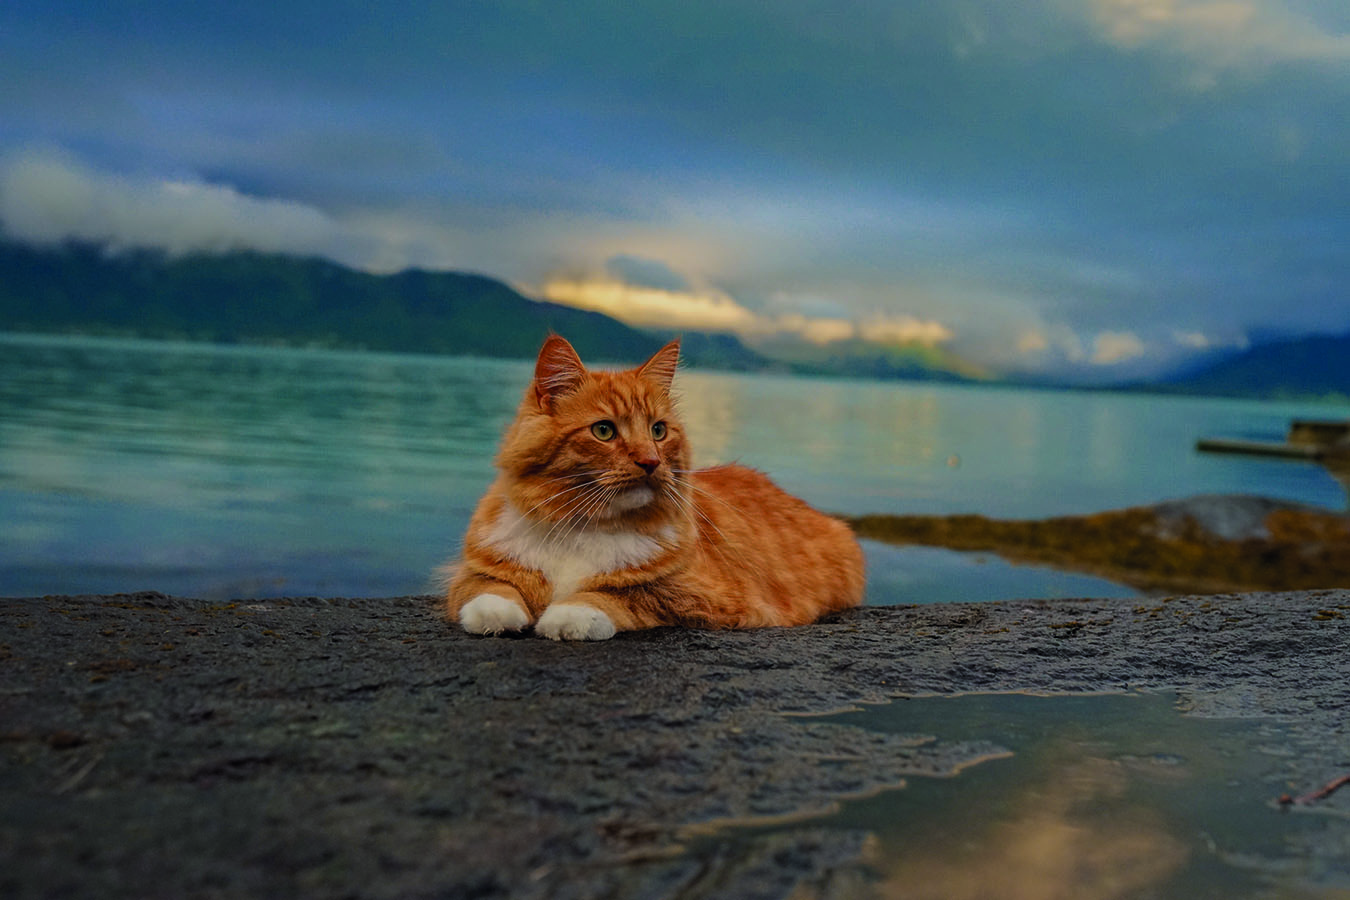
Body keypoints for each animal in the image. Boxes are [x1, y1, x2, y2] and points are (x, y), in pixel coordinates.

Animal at [442, 333, 864, 639]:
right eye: (604, 430)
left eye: (658, 431)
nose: (651, 461)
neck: (583, 525)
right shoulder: (477, 567)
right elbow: (486, 586)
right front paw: (495, 612)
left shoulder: (699, 595)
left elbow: (618, 593)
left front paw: (569, 614)